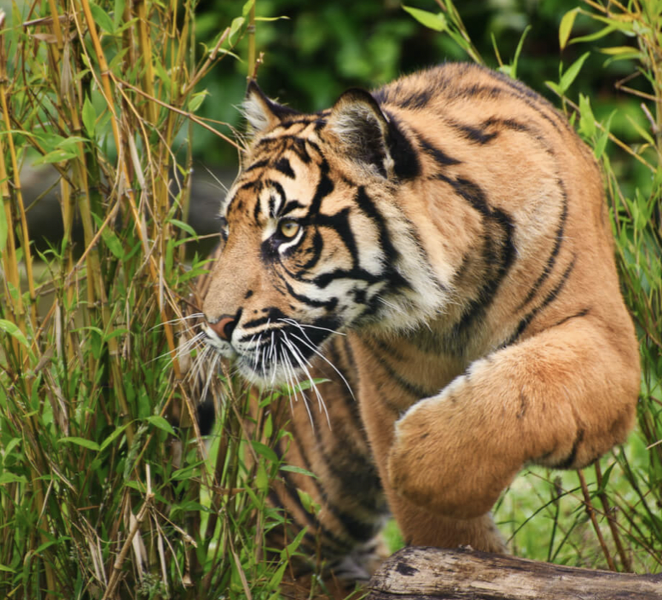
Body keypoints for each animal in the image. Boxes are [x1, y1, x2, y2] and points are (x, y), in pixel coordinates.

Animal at [198, 62, 644, 592]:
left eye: (288, 231)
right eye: (227, 230)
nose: (213, 324)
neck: (456, 295)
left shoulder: (605, 340)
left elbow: (522, 387)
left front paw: (414, 462)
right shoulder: (389, 396)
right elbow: (441, 534)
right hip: (302, 487)